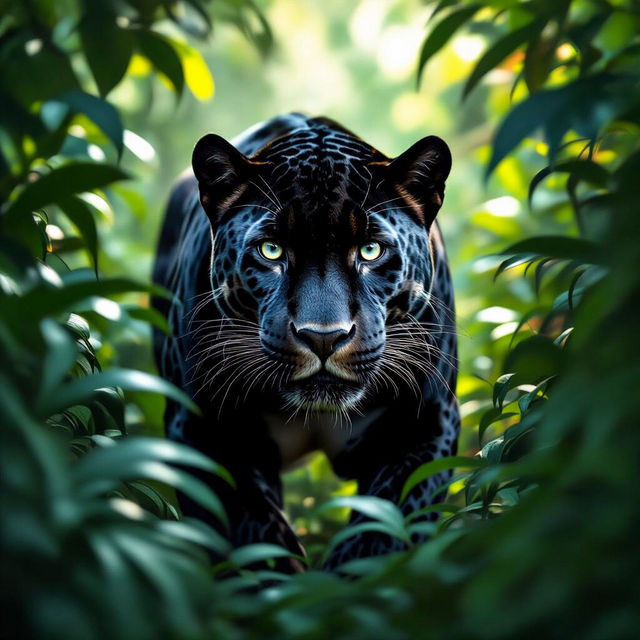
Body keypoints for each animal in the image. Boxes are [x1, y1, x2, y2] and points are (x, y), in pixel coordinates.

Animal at [152, 113, 460, 573]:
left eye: (370, 250)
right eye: (271, 250)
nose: (323, 336)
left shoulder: (426, 421)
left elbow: (384, 527)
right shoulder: (202, 427)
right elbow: (255, 534)